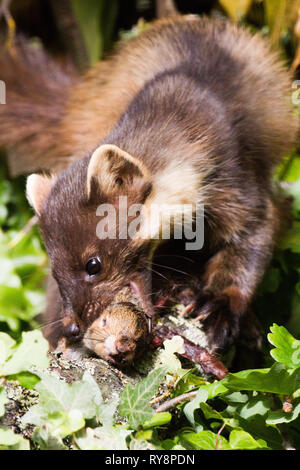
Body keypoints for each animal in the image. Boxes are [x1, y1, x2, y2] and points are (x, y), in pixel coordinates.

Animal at [0, 15, 298, 352]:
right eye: (54, 268)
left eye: (93, 264)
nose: (73, 327)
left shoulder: (243, 188)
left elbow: (248, 252)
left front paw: (216, 307)